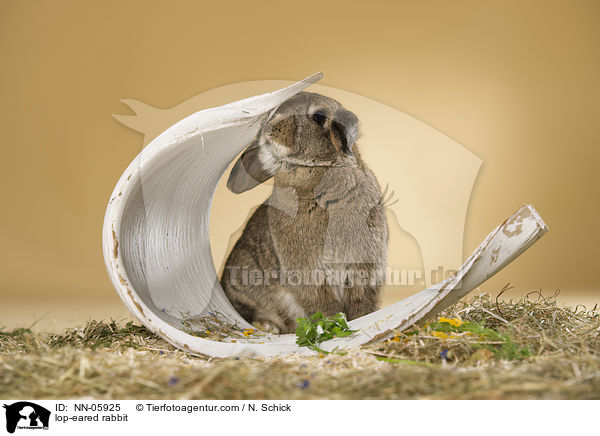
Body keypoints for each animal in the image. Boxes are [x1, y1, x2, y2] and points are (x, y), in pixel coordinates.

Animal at [220, 92, 390, 334]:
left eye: (319, 116)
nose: (269, 127)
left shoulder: (364, 267)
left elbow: (361, 302)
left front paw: (359, 320)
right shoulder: (308, 273)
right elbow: (323, 304)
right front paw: (332, 324)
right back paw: (267, 327)